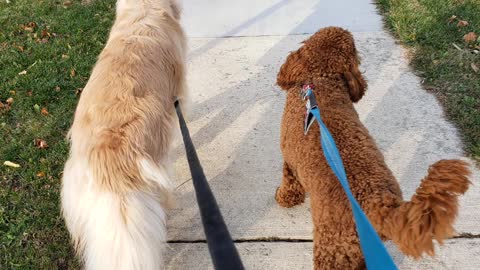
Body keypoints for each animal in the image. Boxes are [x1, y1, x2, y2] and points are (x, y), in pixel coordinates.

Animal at [276, 26, 470, 270]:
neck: (320, 80)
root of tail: (381, 205)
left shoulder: (289, 160)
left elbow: (289, 183)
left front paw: (284, 198)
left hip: (333, 250)